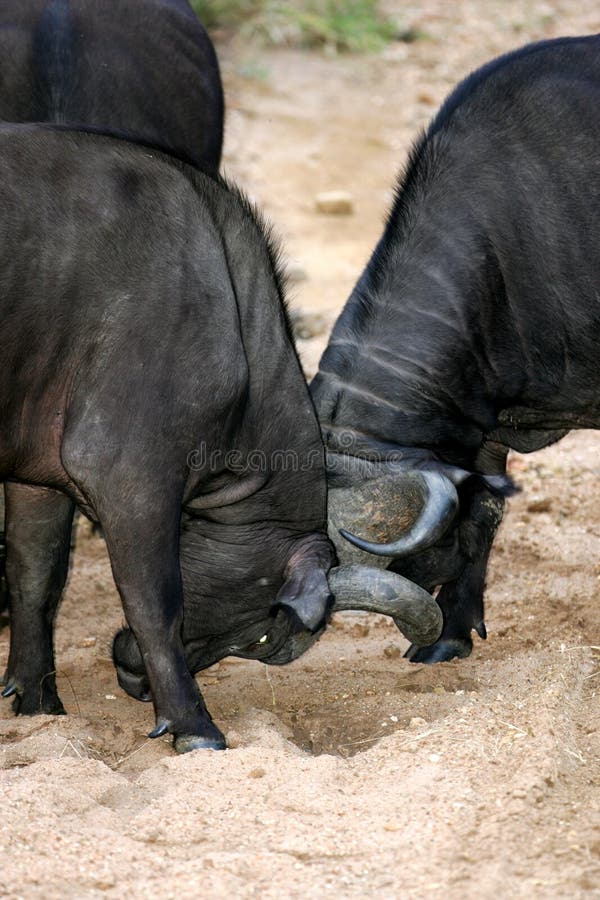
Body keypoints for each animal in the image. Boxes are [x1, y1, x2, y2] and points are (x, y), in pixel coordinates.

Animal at [0, 123, 440, 748]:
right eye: (263, 637)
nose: (134, 681)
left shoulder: (37, 477)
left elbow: (36, 578)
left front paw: (39, 703)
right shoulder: (132, 480)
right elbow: (156, 603)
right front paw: (194, 725)